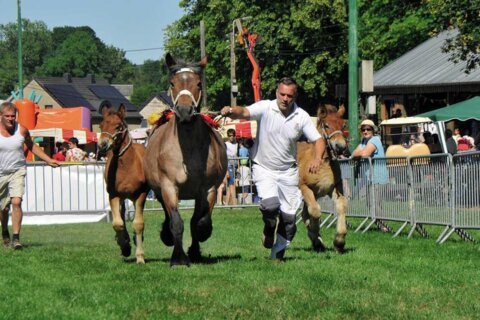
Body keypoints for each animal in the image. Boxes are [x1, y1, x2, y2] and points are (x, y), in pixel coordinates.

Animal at [97, 102, 148, 262]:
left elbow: (138, 223)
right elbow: (117, 223)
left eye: (118, 126)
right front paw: (124, 246)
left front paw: (140, 256)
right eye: (101, 125)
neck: (127, 166)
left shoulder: (141, 194)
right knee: (121, 214)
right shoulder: (113, 195)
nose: (102, 145)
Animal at [143, 53, 228, 266]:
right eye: (172, 83)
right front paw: (179, 258)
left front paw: (196, 247)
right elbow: (176, 222)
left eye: (198, 83)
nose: (184, 111)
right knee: (168, 216)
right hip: (159, 191)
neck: (188, 152)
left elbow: (199, 222)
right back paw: (167, 235)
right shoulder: (168, 187)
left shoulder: (207, 190)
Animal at [298, 104, 346, 252]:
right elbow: (315, 211)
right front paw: (316, 235)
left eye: (343, 125)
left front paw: (339, 242)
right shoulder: (304, 188)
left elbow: (341, 207)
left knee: (304, 213)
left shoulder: (335, 188)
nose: (341, 147)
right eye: (326, 125)